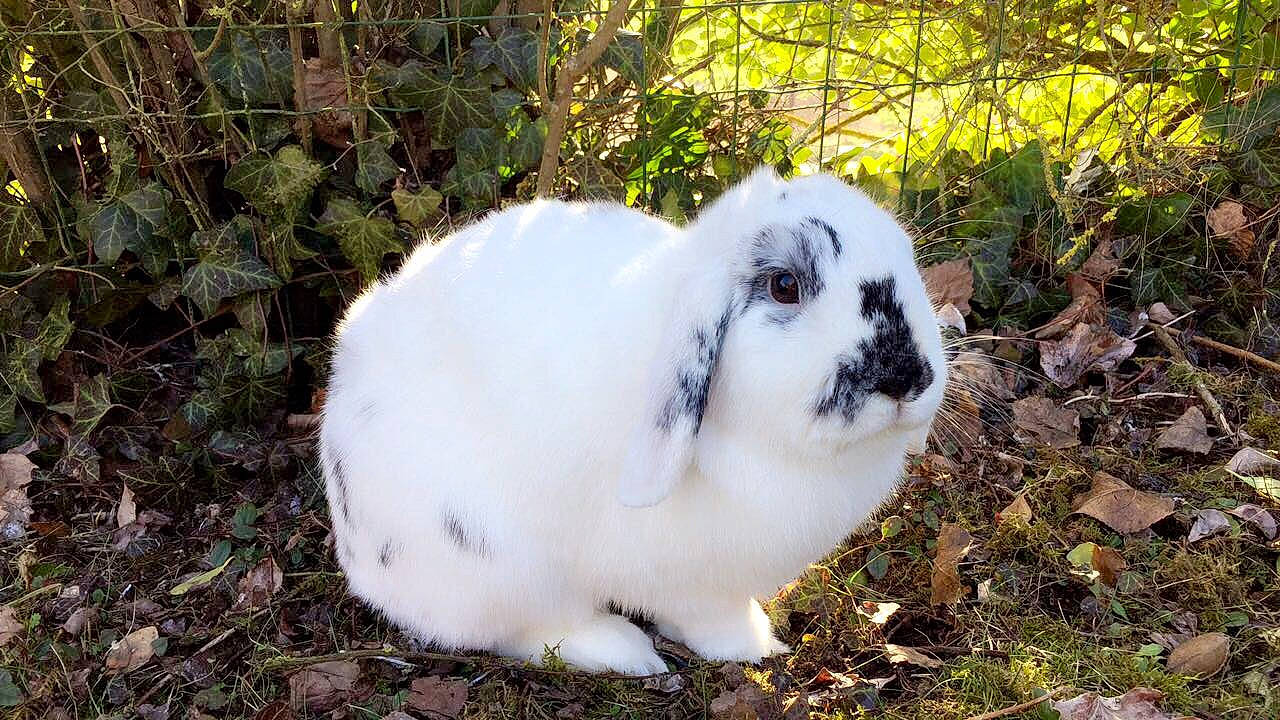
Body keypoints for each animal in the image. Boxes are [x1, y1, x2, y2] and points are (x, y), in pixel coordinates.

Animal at [318, 166, 947, 675]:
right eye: (784, 286)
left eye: (907, 259)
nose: (905, 377)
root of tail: (359, 562)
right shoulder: (695, 581)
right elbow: (710, 618)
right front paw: (755, 647)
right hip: (499, 560)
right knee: (530, 631)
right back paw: (624, 651)